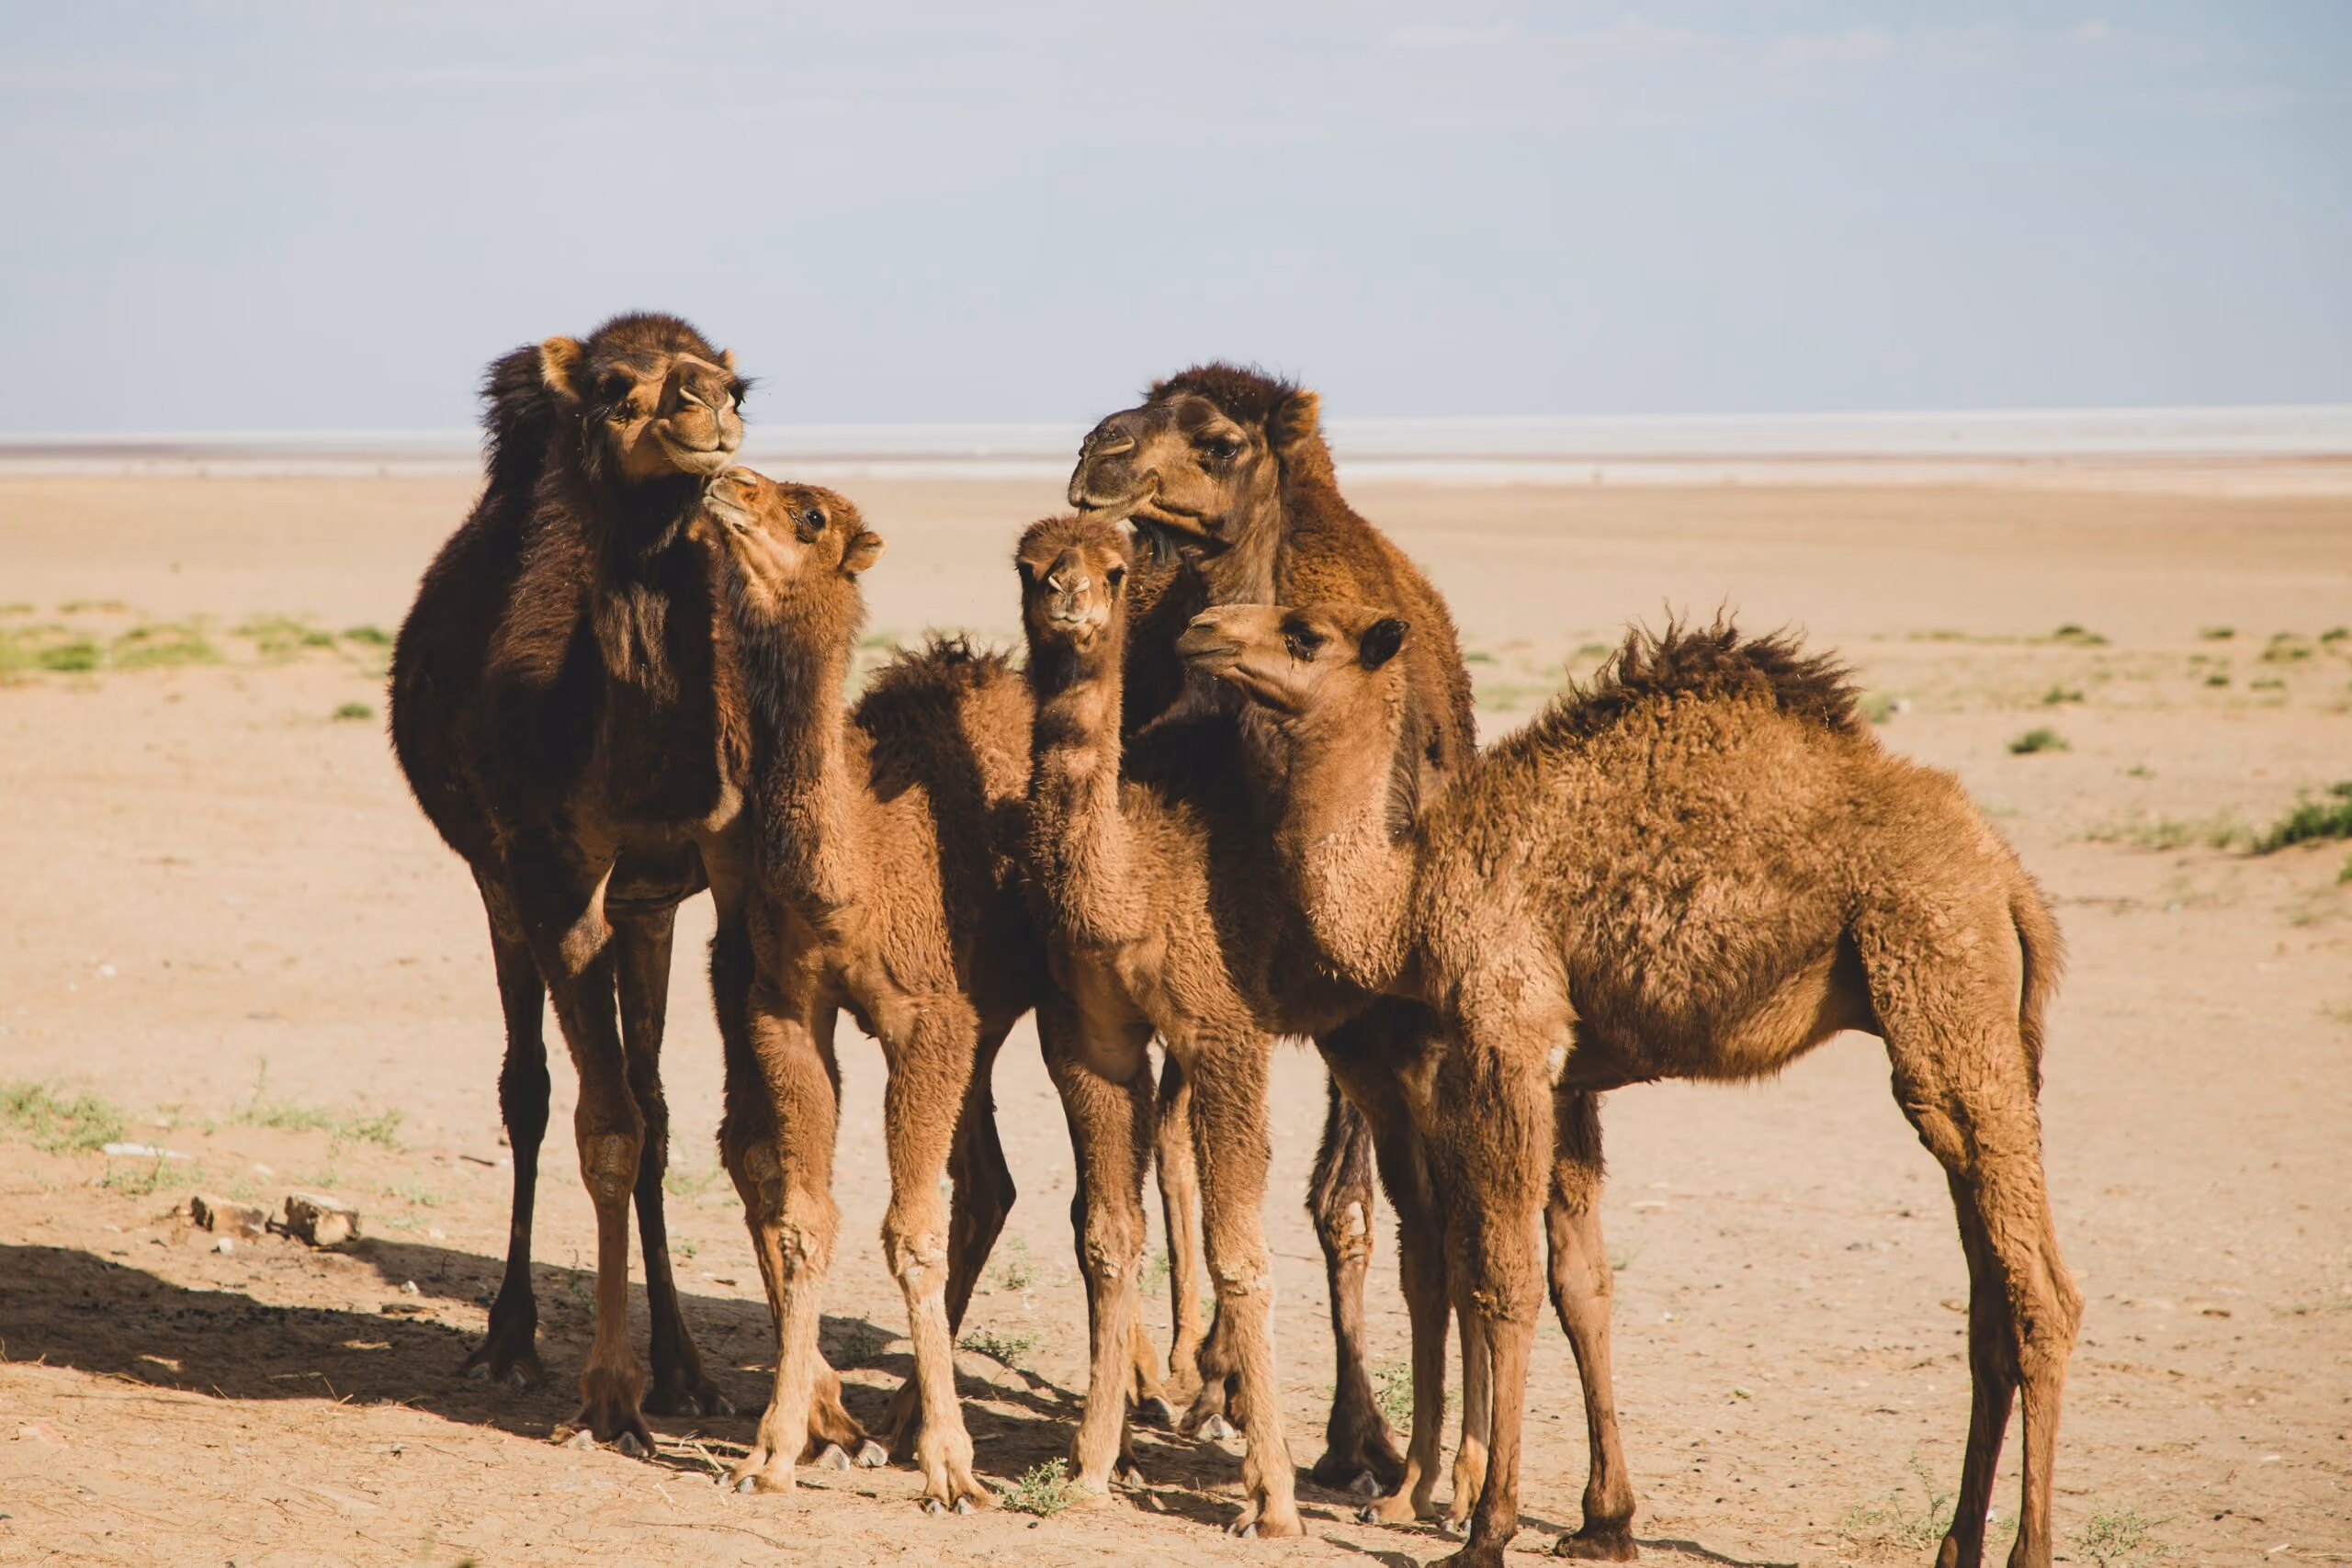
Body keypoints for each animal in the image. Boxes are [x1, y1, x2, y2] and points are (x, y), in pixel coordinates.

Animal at [389, 313, 888, 1457]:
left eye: (733, 382)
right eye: (619, 391)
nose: (708, 410)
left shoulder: (728, 880)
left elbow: (747, 1136)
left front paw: (824, 1406)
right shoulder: (555, 873)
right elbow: (602, 1126)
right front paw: (607, 1393)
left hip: (646, 909)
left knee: (654, 1099)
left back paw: (684, 1368)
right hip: (499, 884)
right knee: (532, 1091)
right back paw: (515, 1342)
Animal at [1069, 364, 1487, 1494]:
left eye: (1217, 440)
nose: (1097, 454)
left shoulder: (1363, 1000)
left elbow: (1344, 1206)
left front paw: (1360, 1440)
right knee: (1167, 1150)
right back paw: (1167, 1371)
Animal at [1178, 603, 2084, 1568]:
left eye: (1304, 634)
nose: (1201, 628)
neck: (1414, 893)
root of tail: (2010, 882)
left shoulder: (1508, 1031)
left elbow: (1503, 1278)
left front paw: (1485, 1530)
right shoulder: (1564, 1072)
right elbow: (1577, 1279)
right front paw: (1597, 1523)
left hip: (1942, 982)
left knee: (2042, 1295)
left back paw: (2028, 1547)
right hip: (1971, 1043)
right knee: (1988, 1301)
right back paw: (1956, 1543)